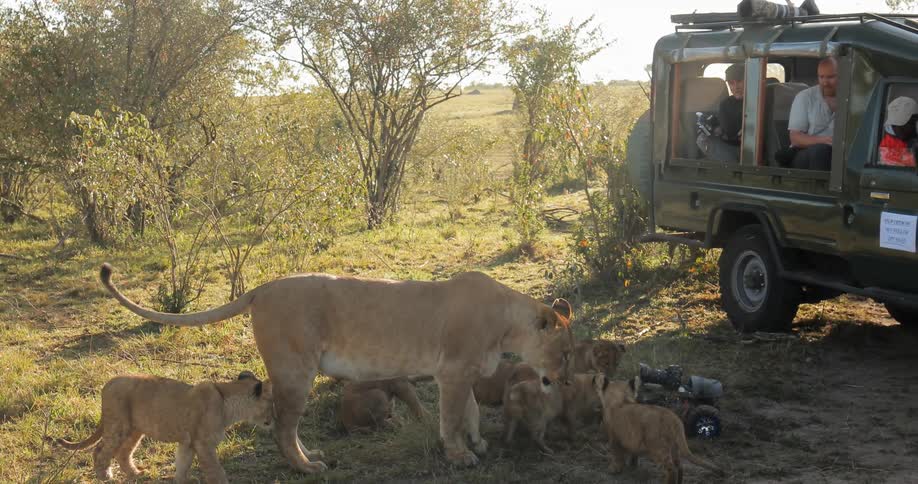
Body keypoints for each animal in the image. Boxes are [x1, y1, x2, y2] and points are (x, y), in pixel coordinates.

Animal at [49, 372, 273, 484]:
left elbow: (182, 465)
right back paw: (104, 476)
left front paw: (180, 482)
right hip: (119, 425)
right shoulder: (203, 444)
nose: (273, 419)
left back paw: (136, 474)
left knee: (122, 453)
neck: (228, 401)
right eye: (271, 403)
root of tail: (109, 382)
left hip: (135, 429)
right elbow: (216, 471)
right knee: (100, 450)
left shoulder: (188, 443)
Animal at [99, 264, 575, 471]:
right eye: (565, 353)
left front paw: (478, 444)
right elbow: (451, 418)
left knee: (286, 427)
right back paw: (306, 468)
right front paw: (460, 455)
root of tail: (262, 288)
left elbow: (472, 413)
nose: (566, 381)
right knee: (281, 427)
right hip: (295, 372)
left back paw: (313, 457)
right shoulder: (452, 373)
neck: (508, 326)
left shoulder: (465, 374)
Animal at [593, 375, 723, 484]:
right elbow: (633, 454)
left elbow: (616, 455)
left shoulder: (614, 437)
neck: (621, 399)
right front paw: (632, 466)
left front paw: (614, 469)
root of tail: (673, 418)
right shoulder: (631, 440)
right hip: (674, 446)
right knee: (679, 466)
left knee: (671, 469)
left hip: (657, 447)